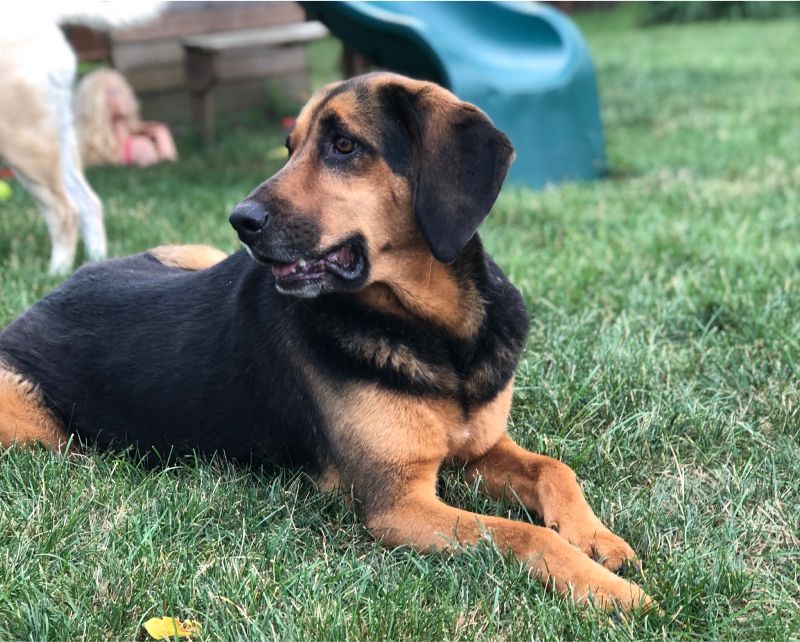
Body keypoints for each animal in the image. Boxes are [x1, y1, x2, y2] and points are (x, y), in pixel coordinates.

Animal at [0, 3, 161, 272]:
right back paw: (96, 260)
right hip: (58, 140)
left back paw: (56, 271)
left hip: (25, 144)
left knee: (66, 211)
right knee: (89, 203)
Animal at [0, 72, 652, 608]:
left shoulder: (475, 451)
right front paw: (605, 587)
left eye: (344, 146)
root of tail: (45, 296)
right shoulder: (399, 504)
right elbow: (525, 534)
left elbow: (554, 469)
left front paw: (597, 539)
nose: (240, 222)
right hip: (37, 433)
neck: (438, 333)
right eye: (290, 148)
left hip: (192, 253)